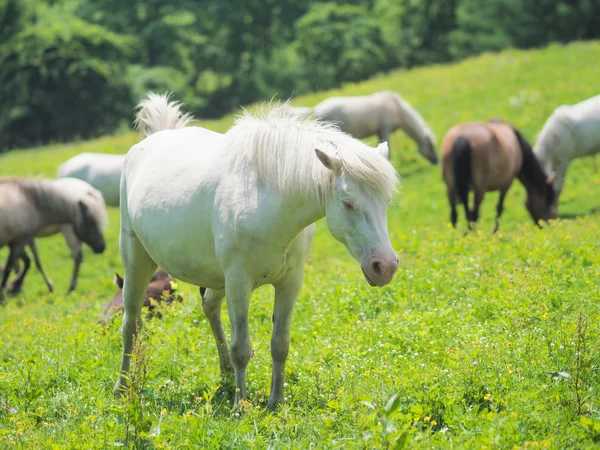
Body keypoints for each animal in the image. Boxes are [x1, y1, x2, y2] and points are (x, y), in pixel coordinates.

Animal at [115, 93, 400, 410]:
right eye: (348, 203)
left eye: (386, 201)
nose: (385, 266)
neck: (266, 202)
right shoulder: (239, 282)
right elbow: (242, 348)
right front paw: (240, 406)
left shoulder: (289, 282)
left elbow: (280, 344)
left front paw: (276, 401)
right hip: (136, 262)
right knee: (130, 323)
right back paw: (122, 387)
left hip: (216, 278)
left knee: (209, 308)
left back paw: (225, 370)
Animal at [292, 90, 438, 163]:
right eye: (431, 146)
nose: (436, 161)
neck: (397, 109)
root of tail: (316, 109)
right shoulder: (385, 130)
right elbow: (389, 150)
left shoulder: (380, 132)